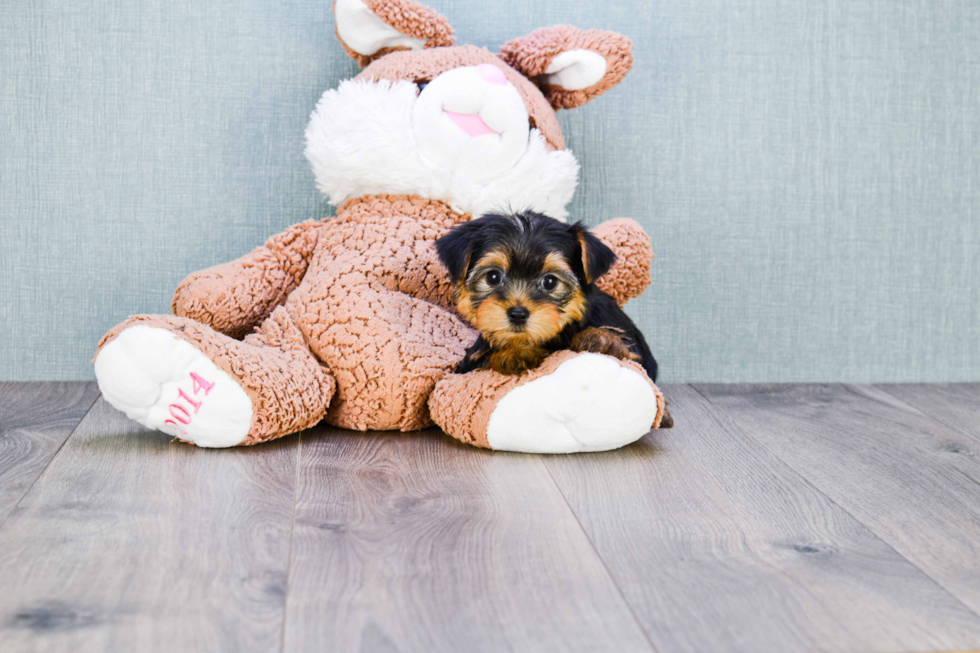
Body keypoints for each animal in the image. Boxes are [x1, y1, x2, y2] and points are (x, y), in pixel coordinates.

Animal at [438, 211, 672, 428]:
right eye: (493, 277)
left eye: (550, 282)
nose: (518, 313)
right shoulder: (471, 363)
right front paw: (515, 353)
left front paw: (601, 340)